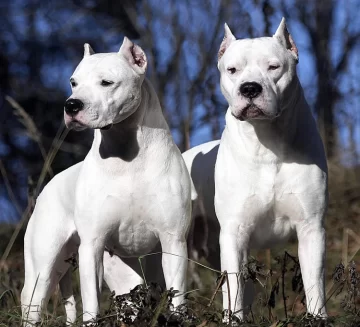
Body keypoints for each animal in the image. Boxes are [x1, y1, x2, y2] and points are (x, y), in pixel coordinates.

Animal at [20, 37, 191, 326]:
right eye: (73, 82)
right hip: (41, 271)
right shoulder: (92, 246)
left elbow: (176, 295)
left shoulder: (173, 242)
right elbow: (91, 302)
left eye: (106, 82)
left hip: (126, 279)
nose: (71, 105)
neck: (127, 155)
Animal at [184, 17, 328, 320]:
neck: (267, 145)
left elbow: (314, 286)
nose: (250, 88)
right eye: (232, 70)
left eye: (274, 67)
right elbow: (234, 291)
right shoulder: (235, 233)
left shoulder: (311, 228)